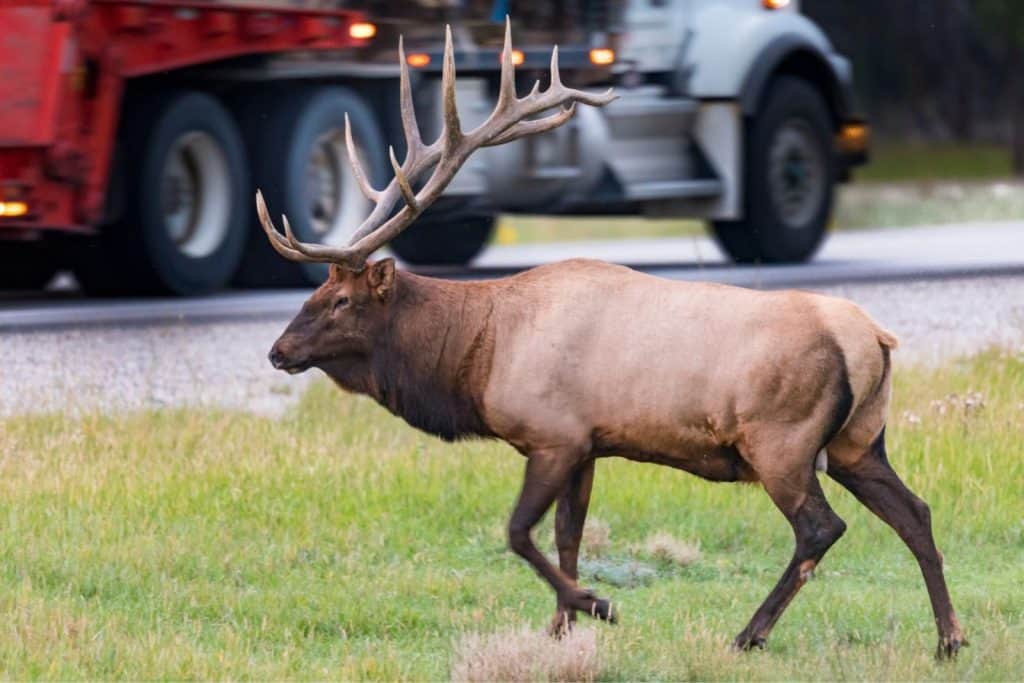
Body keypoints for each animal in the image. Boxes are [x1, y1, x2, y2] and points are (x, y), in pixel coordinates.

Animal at [257, 21, 965, 658]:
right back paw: (949, 638)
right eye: (316, 294)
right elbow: (568, 534)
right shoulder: (590, 442)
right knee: (917, 513)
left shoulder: (554, 433)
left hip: (781, 440)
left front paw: (596, 605)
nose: (278, 351)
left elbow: (518, 532)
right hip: (859, 440)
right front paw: (561, 627)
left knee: (821, 528)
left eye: (340, 300)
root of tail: (873, 339)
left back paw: (750, 633)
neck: (479, 355)